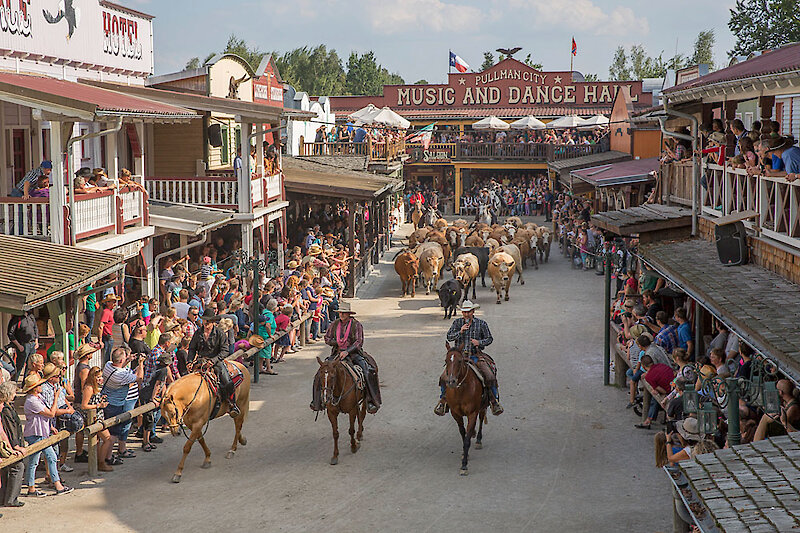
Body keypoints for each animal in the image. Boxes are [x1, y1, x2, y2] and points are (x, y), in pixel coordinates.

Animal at [440, 342, 484, 476]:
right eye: (446, 360)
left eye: (459, 361)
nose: (451, 381)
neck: (461, 390)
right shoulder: (456, 413)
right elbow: (463, 433)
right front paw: (465, 455)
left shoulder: (472, 413)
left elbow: (467, 440)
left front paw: (464, 466)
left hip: (483, 406)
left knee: (482, 418)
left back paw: (478, 439)